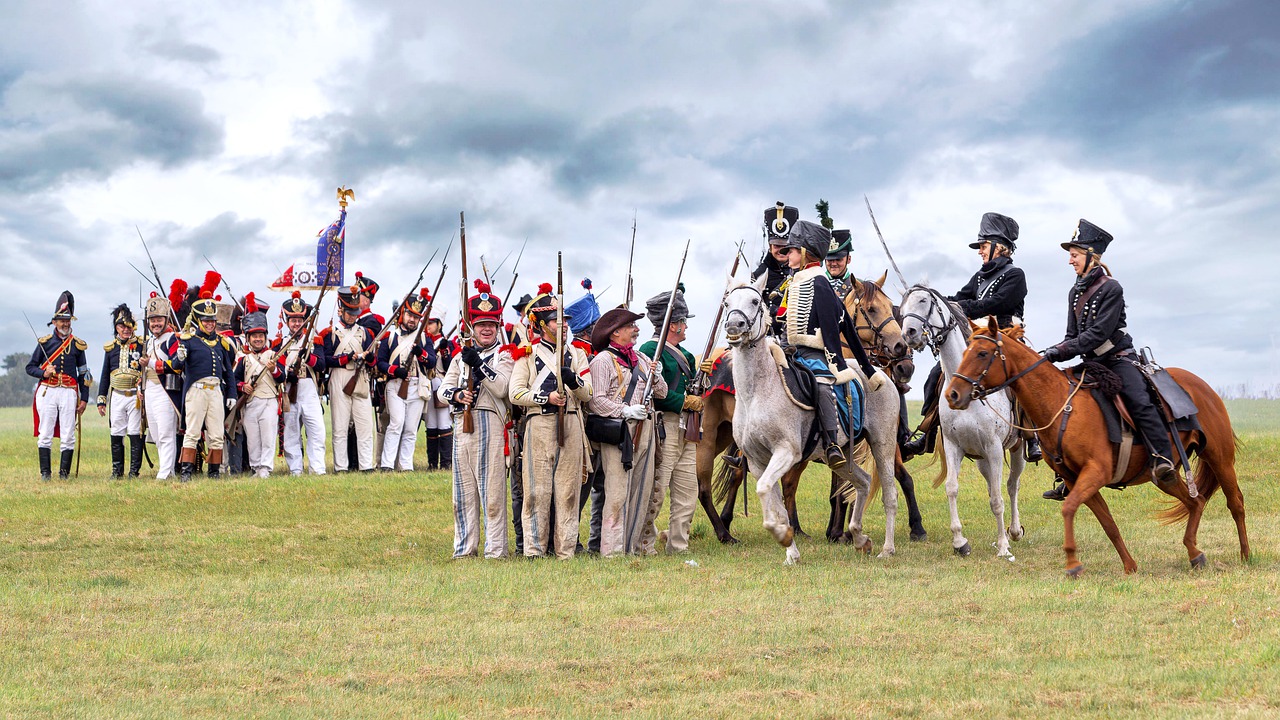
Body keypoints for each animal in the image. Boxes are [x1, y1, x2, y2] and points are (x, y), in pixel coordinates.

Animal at [901, 283, 1029, 558]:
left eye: (924, 300)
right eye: (902, 307)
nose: (909, 333)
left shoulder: (994, 447)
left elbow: (999, 498)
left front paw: (1003, 547)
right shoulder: (954, 446)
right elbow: (952, 488)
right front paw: (960, 542)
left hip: (1016, 449)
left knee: (1012, 485)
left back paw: (1013, 532)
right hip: (981, 459)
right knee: (994, 486)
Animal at [942, 322, 1249, 573]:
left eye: (982, 354)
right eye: (967, 350)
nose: (953, 395)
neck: (1060, 402)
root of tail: (1203, 387)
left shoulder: (1095, 472)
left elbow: (1069, 510)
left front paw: (1073, 563)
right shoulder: (1075, 478)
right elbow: (1108, 523)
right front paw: (1129, 566)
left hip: (1220, 459)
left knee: (1235, 502)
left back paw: (1245, 555)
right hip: (1165, 476)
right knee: (1195, 501)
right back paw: (1195, 553)